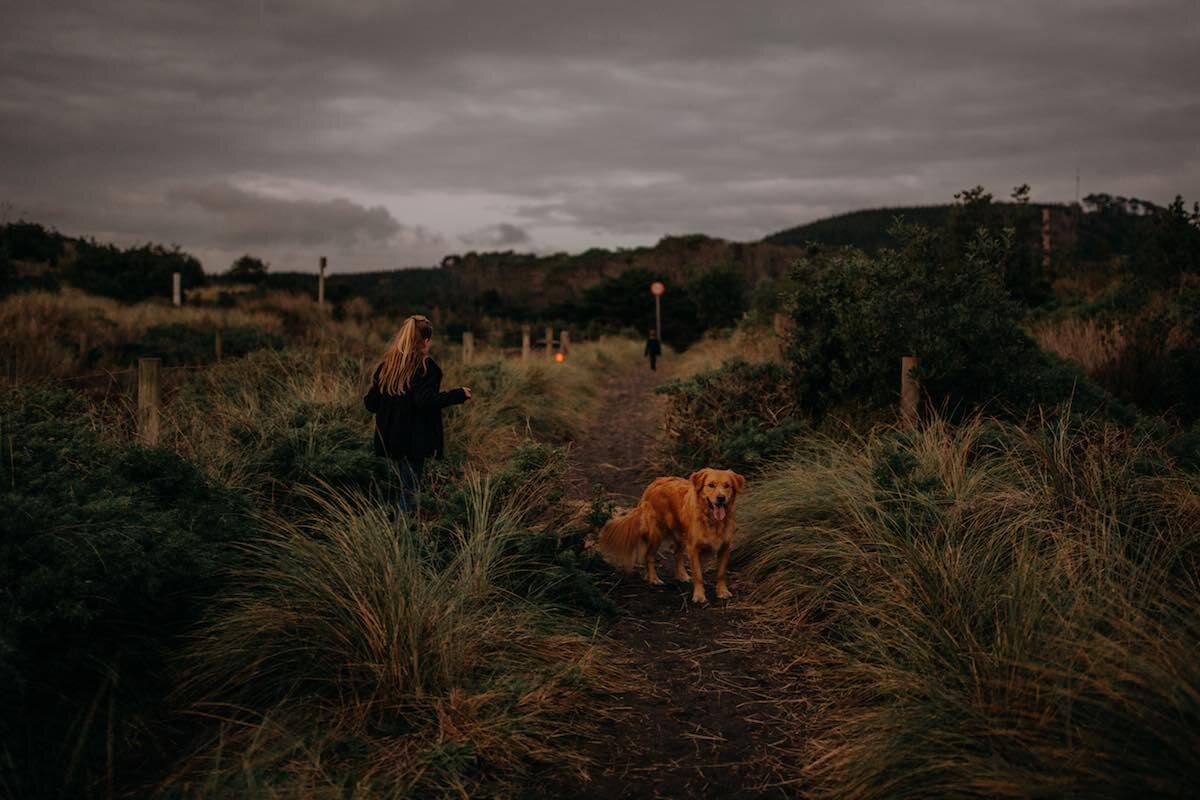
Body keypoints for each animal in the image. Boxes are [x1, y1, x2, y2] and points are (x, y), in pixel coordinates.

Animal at [597, 465, 739, 604]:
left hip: (682, 534)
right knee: (649, 556)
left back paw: (681, 575)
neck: (712, 520)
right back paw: (653, 578)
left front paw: (722, 592)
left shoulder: (725, 548)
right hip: (657, 533)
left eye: (727, 486)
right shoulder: (694, 548)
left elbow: (721, 573)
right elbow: (698, 574)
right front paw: (699, 596)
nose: (721, 498)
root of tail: (655, 483)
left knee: (676, 554)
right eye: (711, 485)